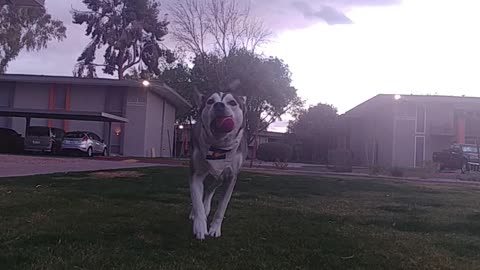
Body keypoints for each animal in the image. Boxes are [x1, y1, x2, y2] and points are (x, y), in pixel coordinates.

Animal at [188, 91, 246, 240]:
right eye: (210, 101)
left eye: (232, 102)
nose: (219, 104)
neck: (219, 147)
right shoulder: (195, 174)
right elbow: (197, 200)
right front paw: (200, 225)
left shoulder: (231, 177)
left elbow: (222, 207)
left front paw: (215, 228)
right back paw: (196, 213)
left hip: (220, 177)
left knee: (210, 189)